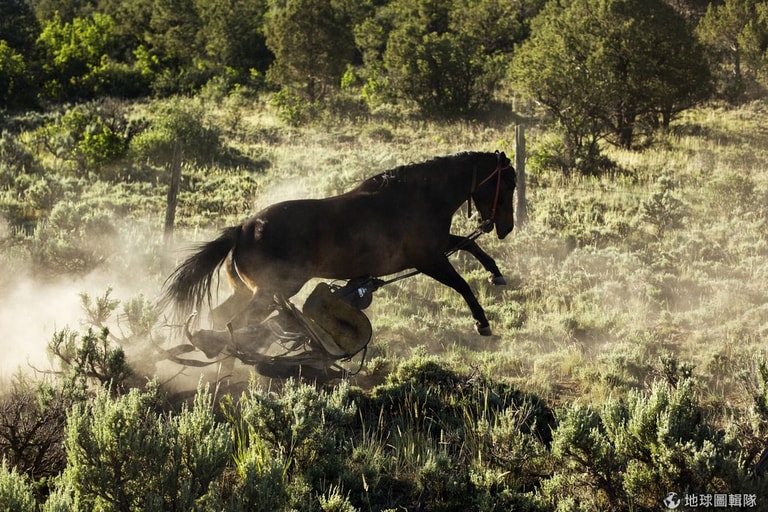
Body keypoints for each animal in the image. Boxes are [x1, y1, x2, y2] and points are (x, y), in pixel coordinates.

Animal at [165, 151, 520, 336]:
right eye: (508, 184)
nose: (506, 228)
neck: (419, 198)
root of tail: (243, 229)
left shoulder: (437, 247)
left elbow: (470, 247)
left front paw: (496, 274)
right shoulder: (429, 259)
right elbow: (462, 285)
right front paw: (482, 322)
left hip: (247, 291)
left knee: (219, 318)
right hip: (271, 291)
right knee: (236, 324)